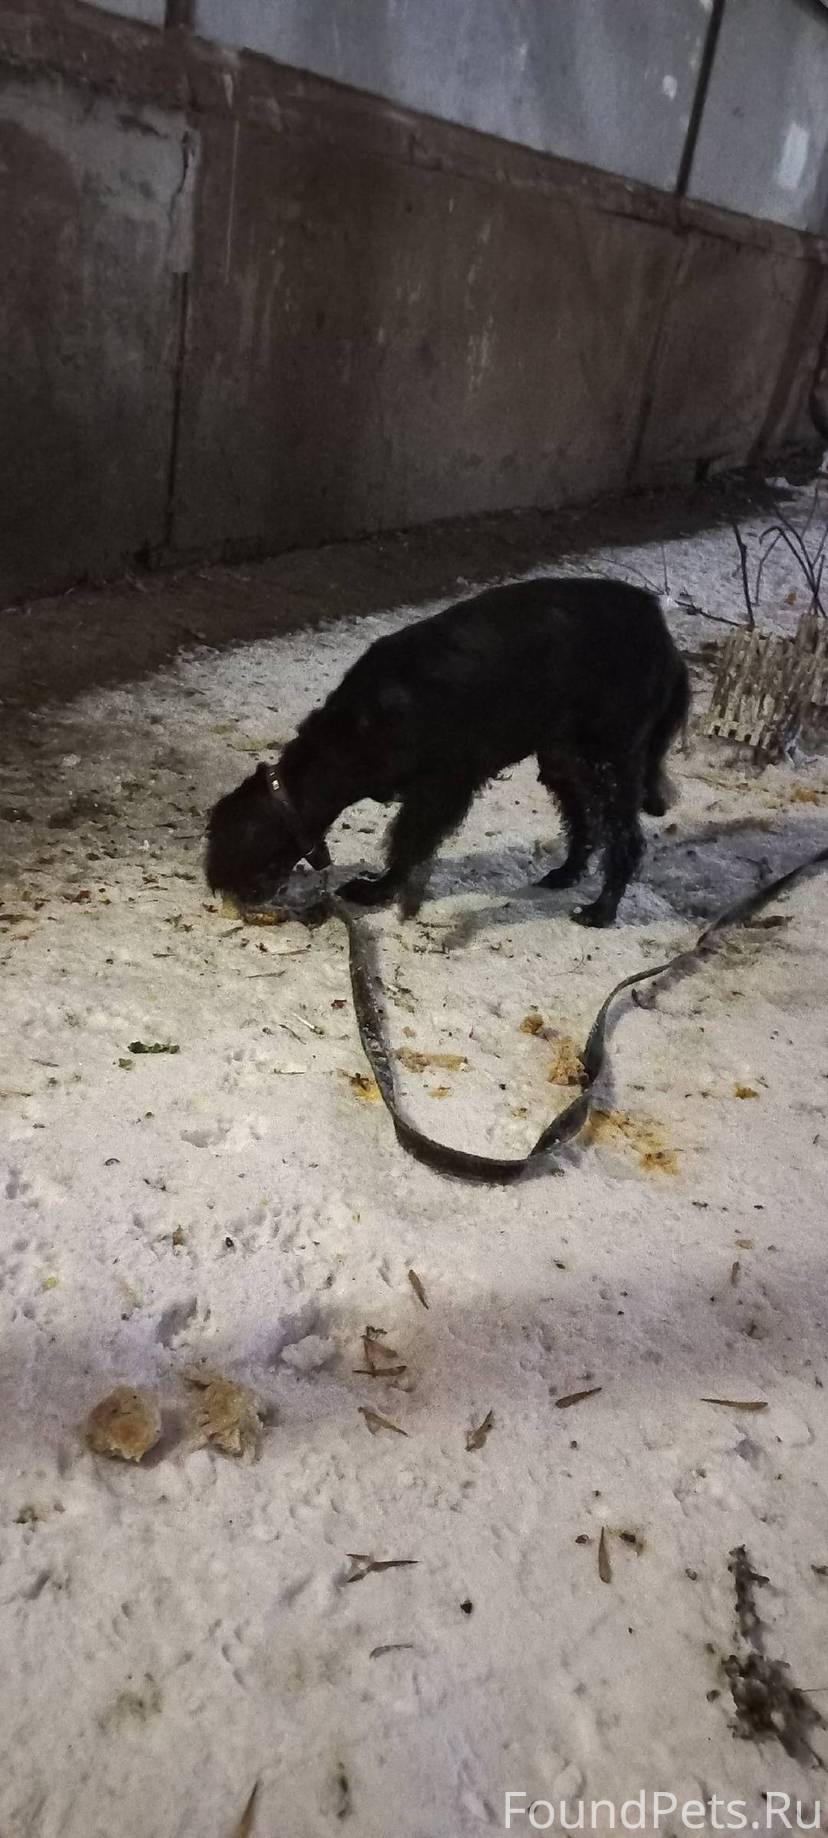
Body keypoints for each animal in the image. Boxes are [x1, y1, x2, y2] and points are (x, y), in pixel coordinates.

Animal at [205, 576, 690, 927]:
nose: (220, 890)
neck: (354, 731)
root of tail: (661, 630)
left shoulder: (441, 790)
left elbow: (406, 843)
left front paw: (381, 891)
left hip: (610, 758)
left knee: (625, 838)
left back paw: (601, 911)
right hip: (562, 759)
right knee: (584, 820)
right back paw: (567, 873)